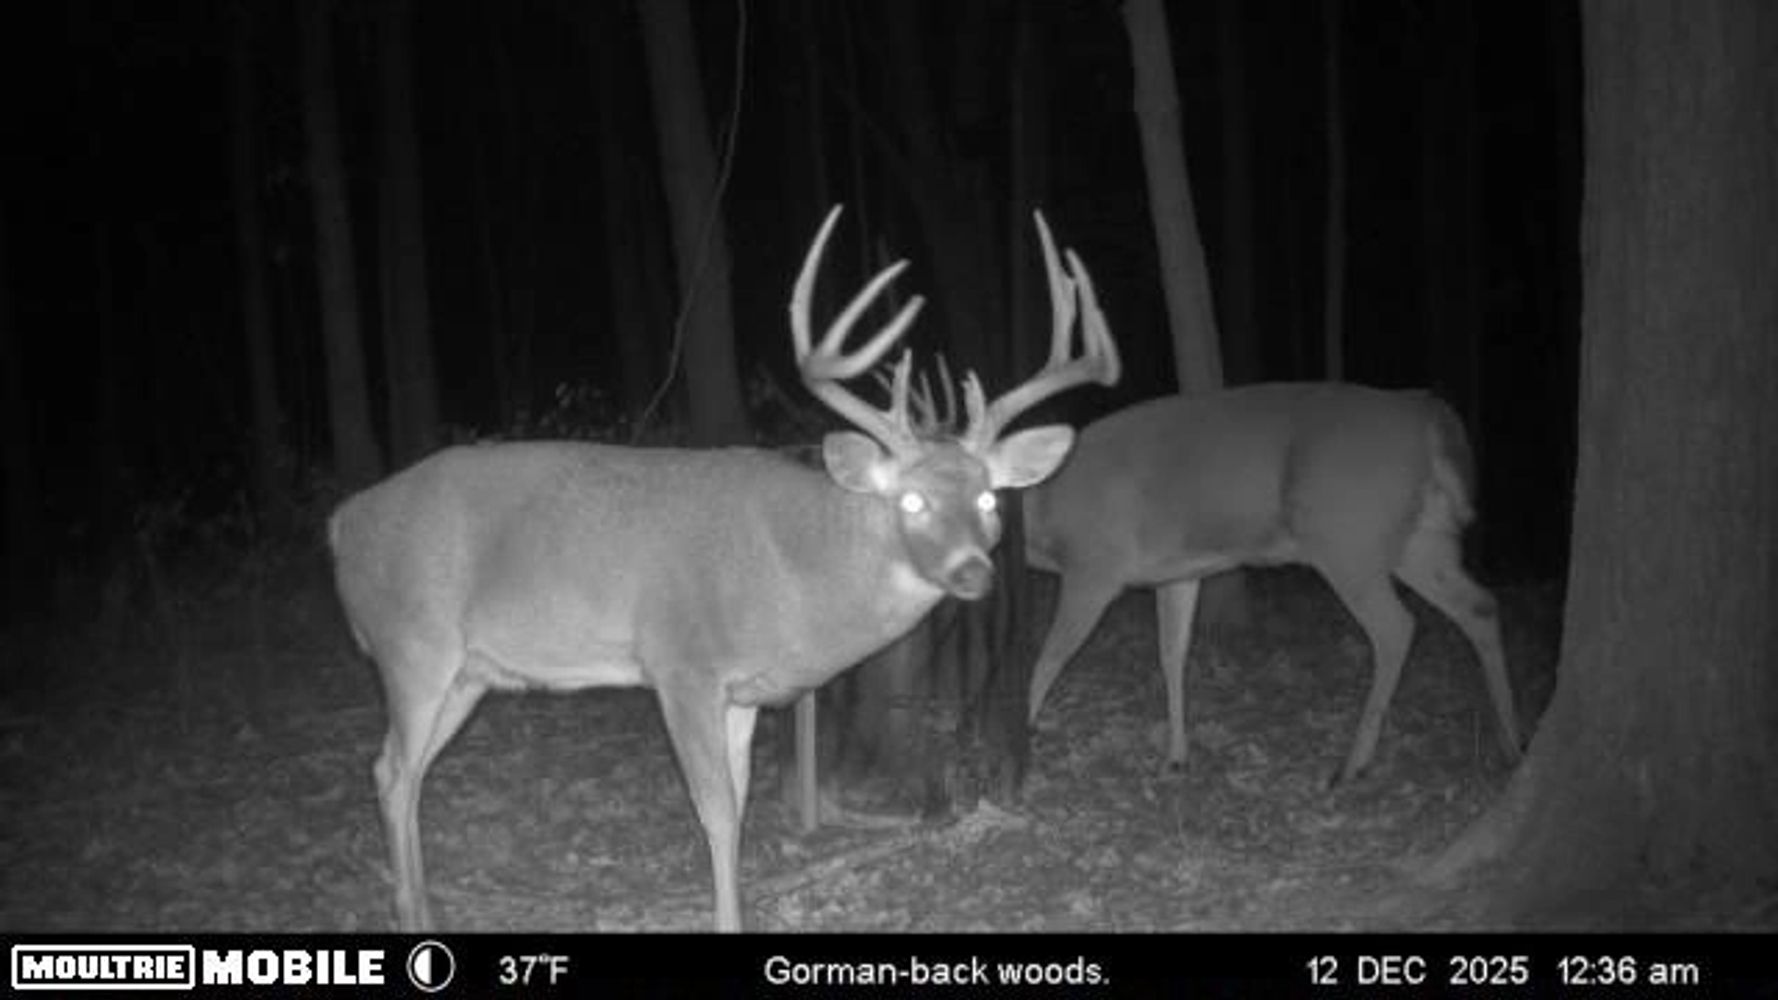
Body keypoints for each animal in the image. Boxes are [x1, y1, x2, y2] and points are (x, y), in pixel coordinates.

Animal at [326, 205, 1120, 932]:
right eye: (914, 499)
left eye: (988, 497)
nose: (973, 573)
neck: (797, 571)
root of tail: (342, 522)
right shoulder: (681, 664)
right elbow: (712, 810)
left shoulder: (743, 693)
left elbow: (737, 809)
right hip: (412, 645)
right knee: (392, 770)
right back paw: (412, 916)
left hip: (470, 673)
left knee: (402, 772)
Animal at [1021, 383, 1525, 787]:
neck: (1044, 506)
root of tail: (1426, 412)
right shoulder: (1176, 571)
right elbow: (1172, 655)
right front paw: (1176, 758)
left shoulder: (1095, 566)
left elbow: (1050, 656)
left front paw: (1024, 723)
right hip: (1422, 538)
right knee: (1480, 605)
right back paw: (1512, 744)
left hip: (1348, 535)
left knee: (1397, 627)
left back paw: (1352, 765)